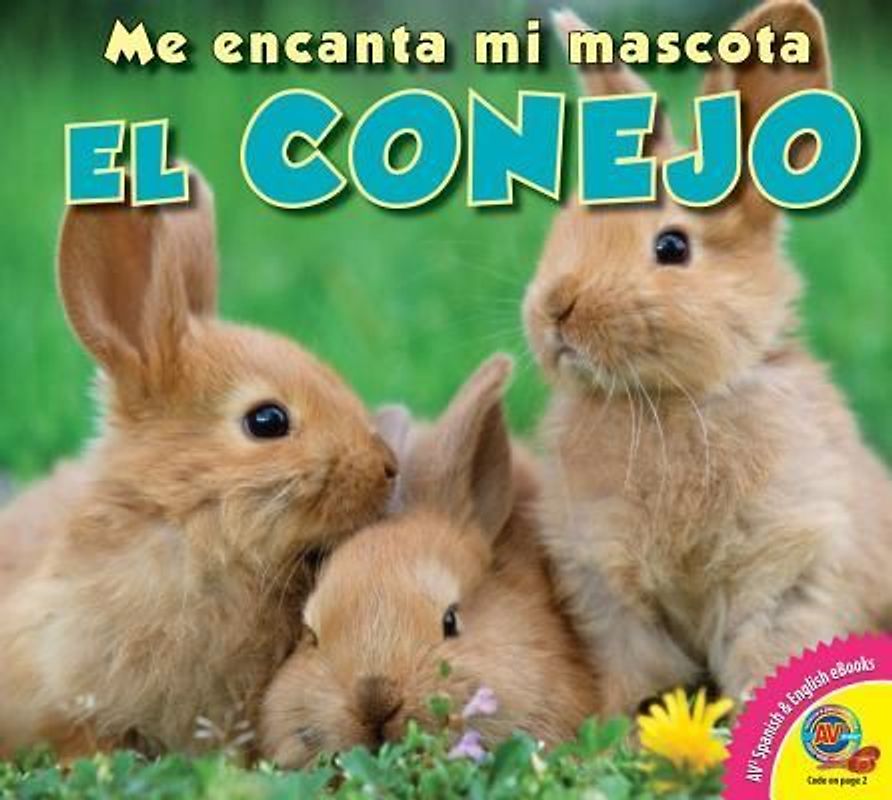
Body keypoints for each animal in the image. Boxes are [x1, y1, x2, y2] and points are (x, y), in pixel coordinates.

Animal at [523, 1, 892, 716]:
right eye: (566, 226)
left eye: (672, 247)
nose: (555, 310)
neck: (668, 401)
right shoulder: (607, 587)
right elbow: (636, 672)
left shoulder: (785, 569)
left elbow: (766, 656)